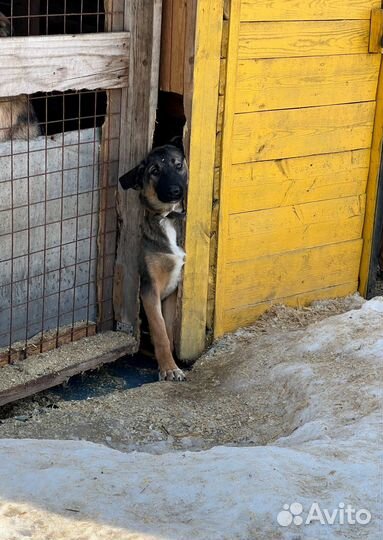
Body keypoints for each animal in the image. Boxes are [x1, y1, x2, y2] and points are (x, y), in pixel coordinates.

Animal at [118, 140, 188, 384]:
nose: (176, 191)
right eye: (155, 171)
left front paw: (169, 363)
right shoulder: (150, 288)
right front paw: (169, 368)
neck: (166, 218)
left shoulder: (171, 290)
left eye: (178, 165)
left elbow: (168, 329)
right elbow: (160, 331)